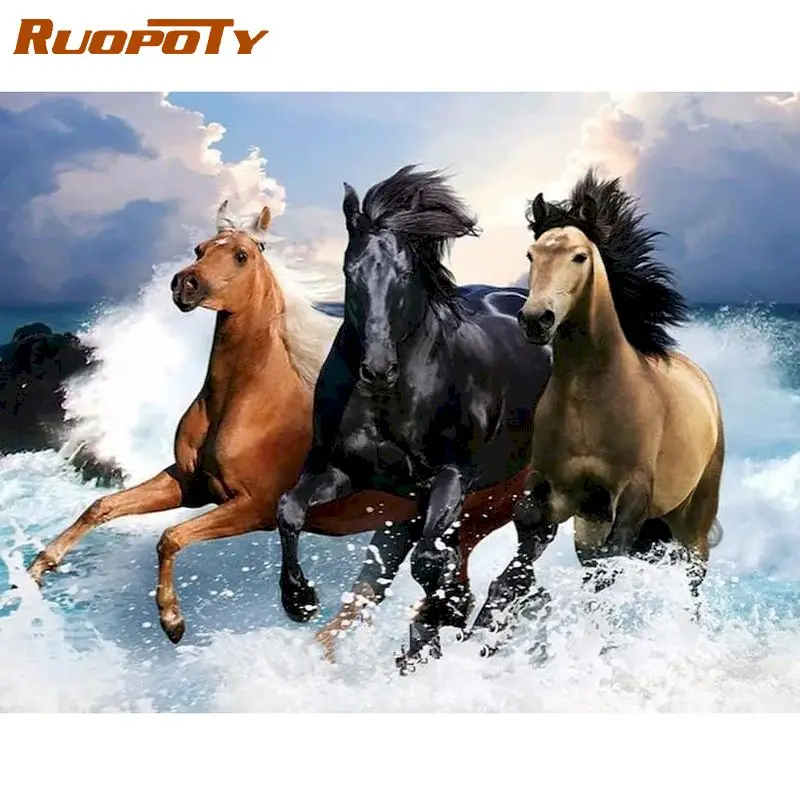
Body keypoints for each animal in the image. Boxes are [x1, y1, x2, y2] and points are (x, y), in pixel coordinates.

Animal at [275, 165, 553, 672]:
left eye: (405, 274)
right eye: (350, 272)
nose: (377, 369)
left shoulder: (451, 475)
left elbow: (427, 561)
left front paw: (448, 610)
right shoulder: (340, 470)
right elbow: (288, 510)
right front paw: (299, 600)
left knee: (529, 547)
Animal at [471, 169, 725, 645]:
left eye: (579, 256)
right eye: (531, 254)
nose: (536, 320)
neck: (590, 399)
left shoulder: (633, 494)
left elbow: (611, 571)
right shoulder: (553, 493)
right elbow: (516, 567)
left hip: (694, 523)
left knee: (693, 583)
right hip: (589, 527)